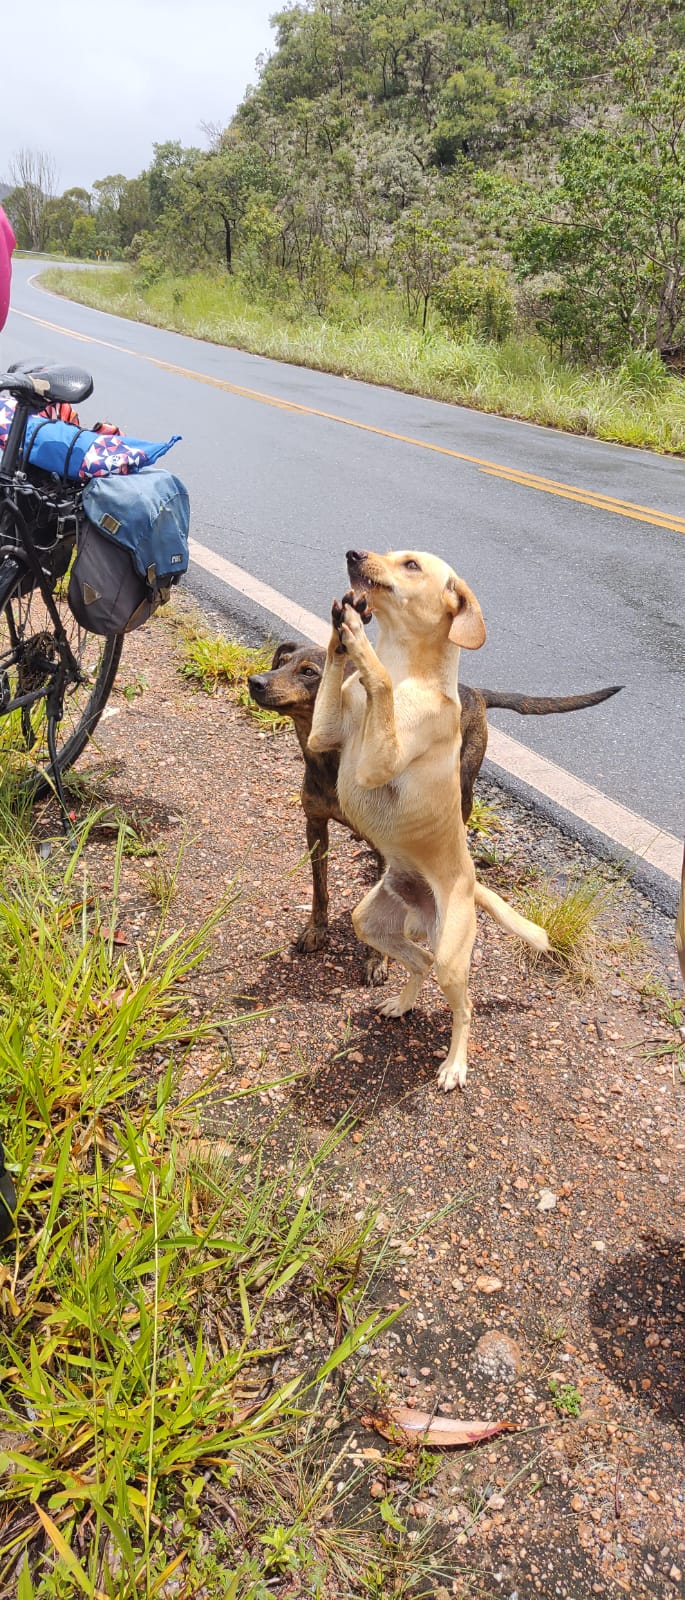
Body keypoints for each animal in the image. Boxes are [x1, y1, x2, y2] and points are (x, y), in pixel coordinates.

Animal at [249, 643, 620, 979]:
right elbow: (320, 889)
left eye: (309, 672)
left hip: (463, 788)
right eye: (281, 661)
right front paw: (316, 930)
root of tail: (473, 692)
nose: (256, 681)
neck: (332, 760)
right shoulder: (314, 824)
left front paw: (376, 960)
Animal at [307, 547, 554, 1091]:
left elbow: (375, 676)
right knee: (415, 963)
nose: (354, 553)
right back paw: (400, 1004)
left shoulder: (376, 761)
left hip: (452, 959)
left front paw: (359, 640)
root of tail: (471, 884)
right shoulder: (323, 735)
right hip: (369, 921)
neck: (407, 671)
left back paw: (454, 1065)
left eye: (412, 565)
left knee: (464, 1008)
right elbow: (340, 673)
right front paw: (341, 626)